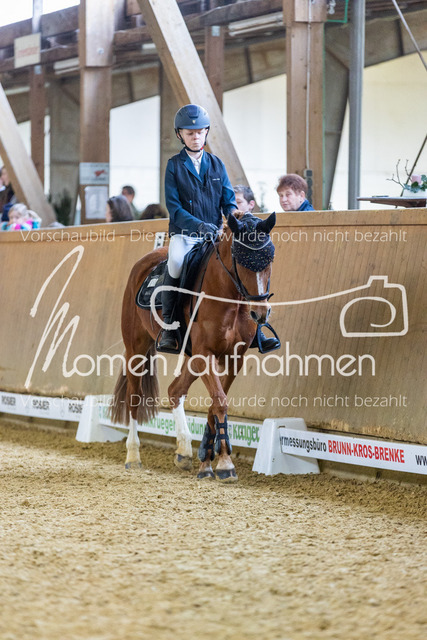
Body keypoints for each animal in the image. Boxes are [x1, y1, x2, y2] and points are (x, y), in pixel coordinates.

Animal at [110, 211, 277, 482]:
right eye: (241, 261)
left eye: (269, 261)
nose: (260, 313)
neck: (229, 298)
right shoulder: (205, 354)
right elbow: (219, 401)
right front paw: (225, 464)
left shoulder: (233, 358)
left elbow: (215, 404)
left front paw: (207, 461)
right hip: (137, 349)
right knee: (134, 398)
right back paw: (133, 457)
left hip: (191, 358)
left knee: (175, 390)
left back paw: (184, 451)